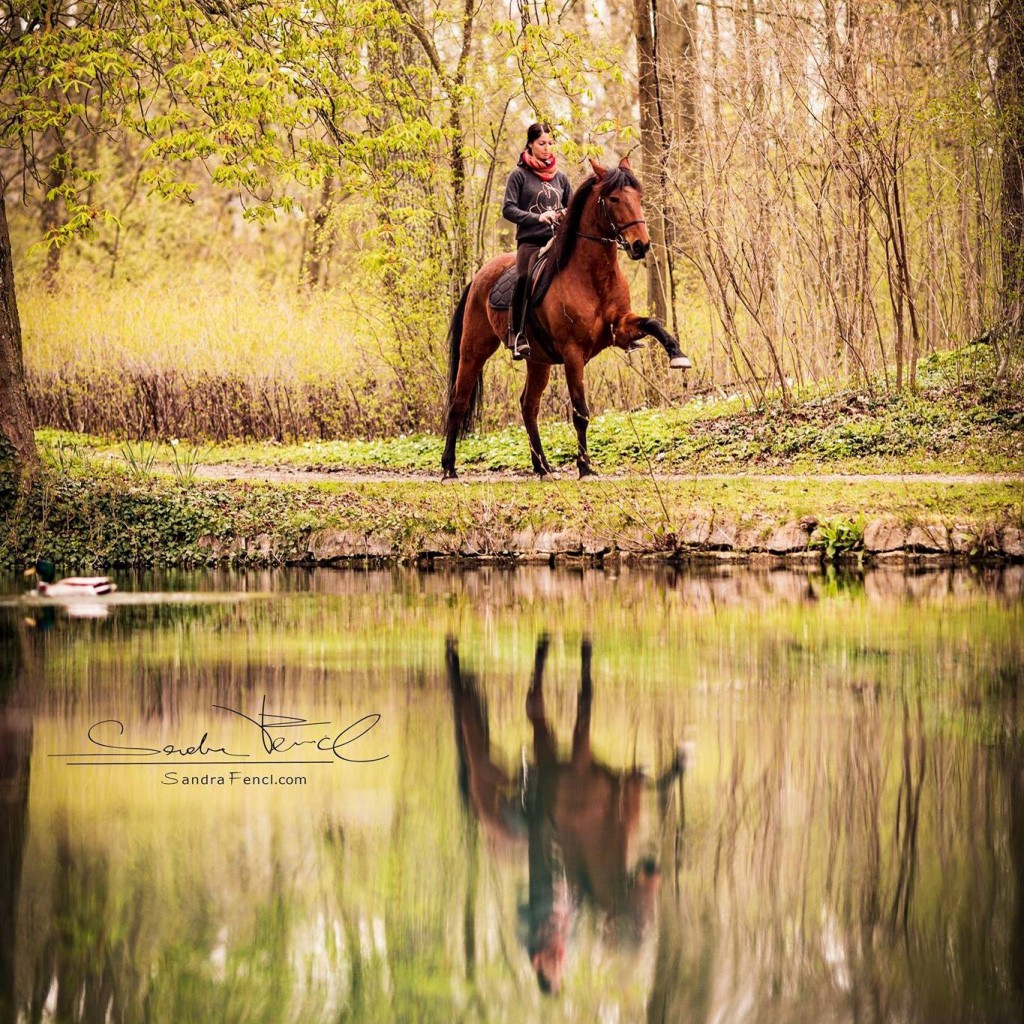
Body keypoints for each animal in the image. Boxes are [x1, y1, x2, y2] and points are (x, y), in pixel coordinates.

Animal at [442, 158, 692, 479]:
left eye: (639, 196)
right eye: (614, 199)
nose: (640, 246)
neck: (593, 276)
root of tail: (477, 278)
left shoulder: (621, 327)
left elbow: (653, 323)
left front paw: (677, 355)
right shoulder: (573, 352)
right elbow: (580, 412)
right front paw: (584, 466)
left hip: (538, 361)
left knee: (528, 406)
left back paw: (542, 466)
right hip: (474, 349)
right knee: (458, 403)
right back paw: (449, 467)